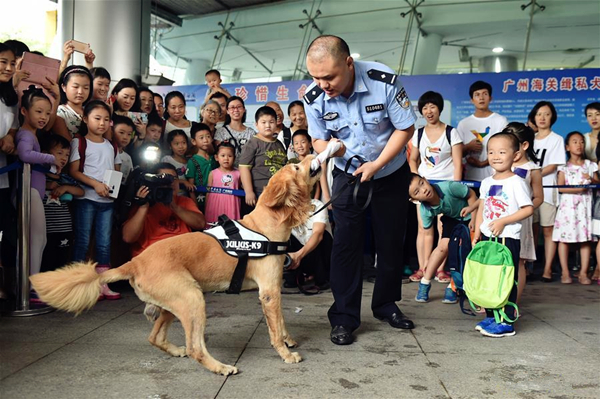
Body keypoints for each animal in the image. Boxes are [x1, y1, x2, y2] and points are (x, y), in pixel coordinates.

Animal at [31, 155, 324, 376]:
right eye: (297, 168)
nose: (312, 154)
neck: (266, 226)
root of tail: (134, 262)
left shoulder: (273, 291)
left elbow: (281, 322)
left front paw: (288, 339)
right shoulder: (269, 292)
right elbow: (275, 327)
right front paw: (286, 353)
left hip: (174, 302)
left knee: (155, 338)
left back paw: (176, 350)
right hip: (192, 297)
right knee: (195, 347)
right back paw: (220, 367)